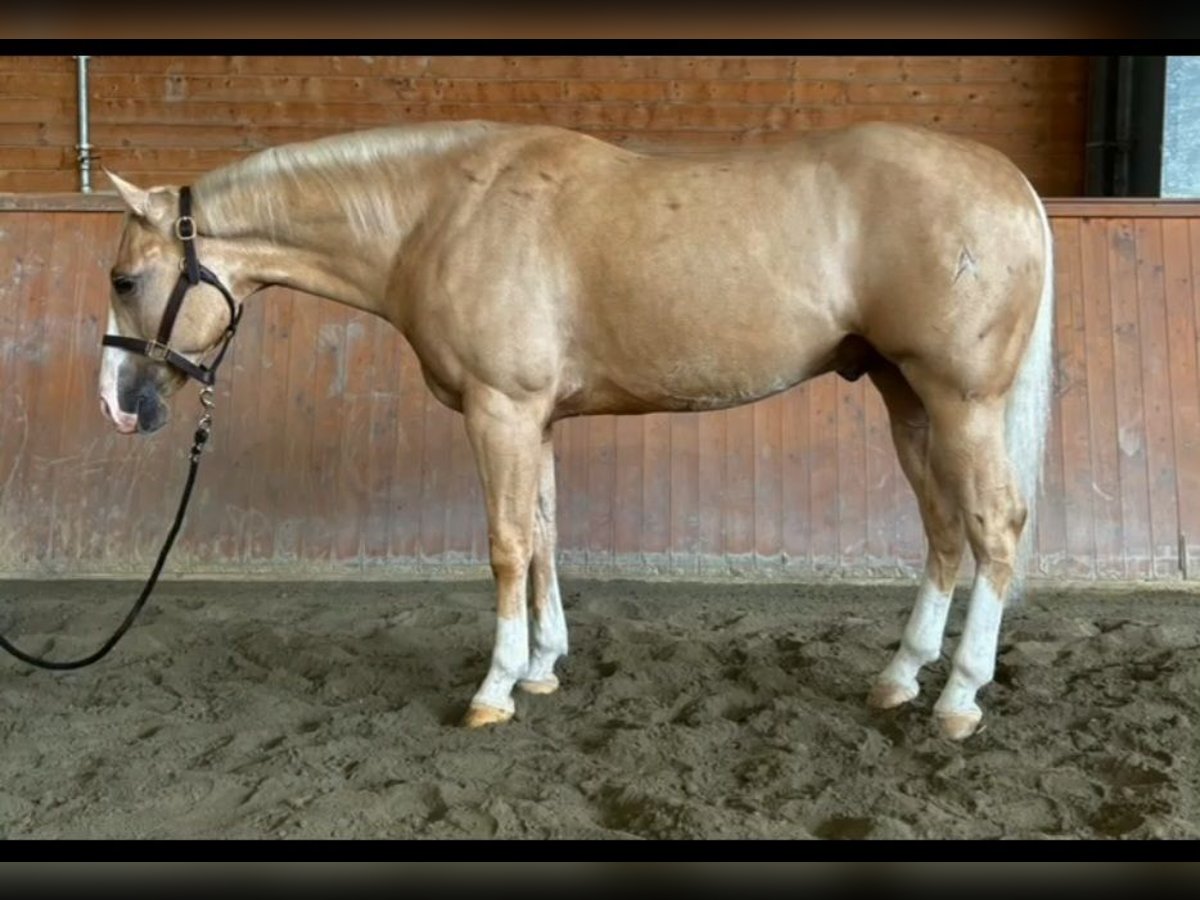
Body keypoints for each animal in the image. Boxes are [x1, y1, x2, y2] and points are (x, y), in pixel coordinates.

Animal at [98, 118, 1053, 740]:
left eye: (121, 279)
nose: (118, 403)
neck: (441, 214)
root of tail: (1012, 183)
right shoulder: (537, 419)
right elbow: (547, 535)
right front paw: (542, 666)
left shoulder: (502, 409)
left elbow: (507, 545)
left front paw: (494, 688)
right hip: (906, 396)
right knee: (943, 530)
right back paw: (899, 677)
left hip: (961, 400)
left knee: (995, 527)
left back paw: (959, 698)